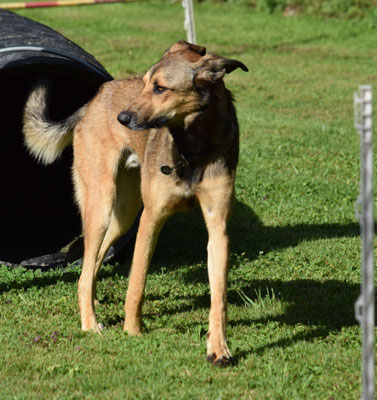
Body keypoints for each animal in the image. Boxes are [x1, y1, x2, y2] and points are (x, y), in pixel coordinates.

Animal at [22, 40, 247, 366]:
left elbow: (219, 297)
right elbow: (137, 284)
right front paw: (133, 331)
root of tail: (95, 98)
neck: (192, 147)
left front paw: (218, 348)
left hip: (124, 214)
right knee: (86, 267)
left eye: (160, 88)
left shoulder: (218, 228)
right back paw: (90, 323)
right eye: (145, 84)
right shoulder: (151, 218)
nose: (123, 119)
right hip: (101, 204)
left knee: (90, 265)